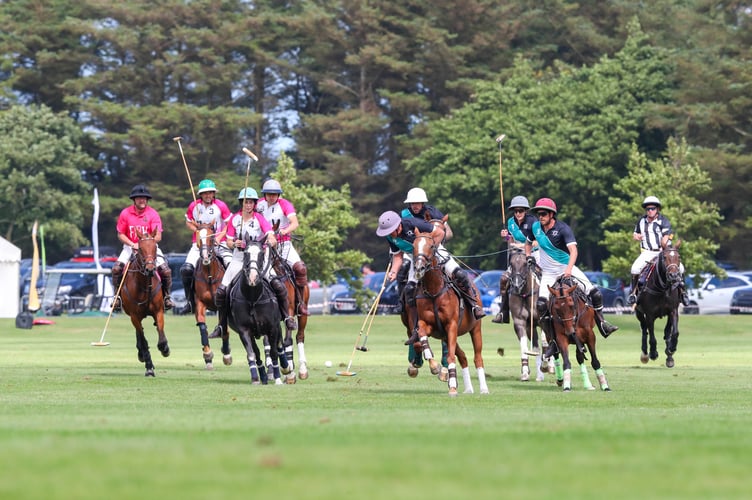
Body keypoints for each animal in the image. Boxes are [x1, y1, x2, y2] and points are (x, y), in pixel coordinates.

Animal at [120, 227, 170, 376]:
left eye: (155, 247)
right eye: (140, 249)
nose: (150, 269)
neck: (144, 285)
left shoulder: (158, 311)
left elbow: (161, 336)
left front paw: (165, 349)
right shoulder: (134, 316)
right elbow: (143, 341)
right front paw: (148, 367)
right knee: (139, 333)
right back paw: (142, 355)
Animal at [192, 225, 231, 370]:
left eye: (212, 237)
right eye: (198, 237)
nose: (205, 256)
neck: (210, 275)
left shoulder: (222, 305)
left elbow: (224, 328)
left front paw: (227, 355)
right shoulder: (200, 302)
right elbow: (202, 326)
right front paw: (208, 355)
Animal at [226, 240, 290, 384]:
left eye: (261, 254)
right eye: (245, 253)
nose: (253, 278)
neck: (253, 298)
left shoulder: (272, 327)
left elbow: (274, 353)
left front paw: (278, 378)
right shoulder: (244, 330)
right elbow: (252, 354)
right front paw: (257, 378)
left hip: (277, 326)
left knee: (279, 347)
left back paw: (287, 369)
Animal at [412, 229, 488, 396]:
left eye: (431, 246)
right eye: (413, 245)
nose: (419, 268)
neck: (434, 292)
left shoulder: (451, 325)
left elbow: (450, 357)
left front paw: (452, 386)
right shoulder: (428, 325)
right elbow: (421, 340)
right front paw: (435, 367)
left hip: (475, 329)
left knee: (477, 358)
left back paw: (484, 388)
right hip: (446, 336)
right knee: (463, 357)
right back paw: (468, 389)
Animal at [506, 250, 548, 382]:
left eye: (525, 264)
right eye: (511, 264)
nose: (516, 285)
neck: (526, 294)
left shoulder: (543, 321)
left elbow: (545, 342)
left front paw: (548, 365)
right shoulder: (520, 323)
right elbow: (524, 347)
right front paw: (525, 372)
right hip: (531, 327)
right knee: (535, 347)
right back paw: (540, 375)